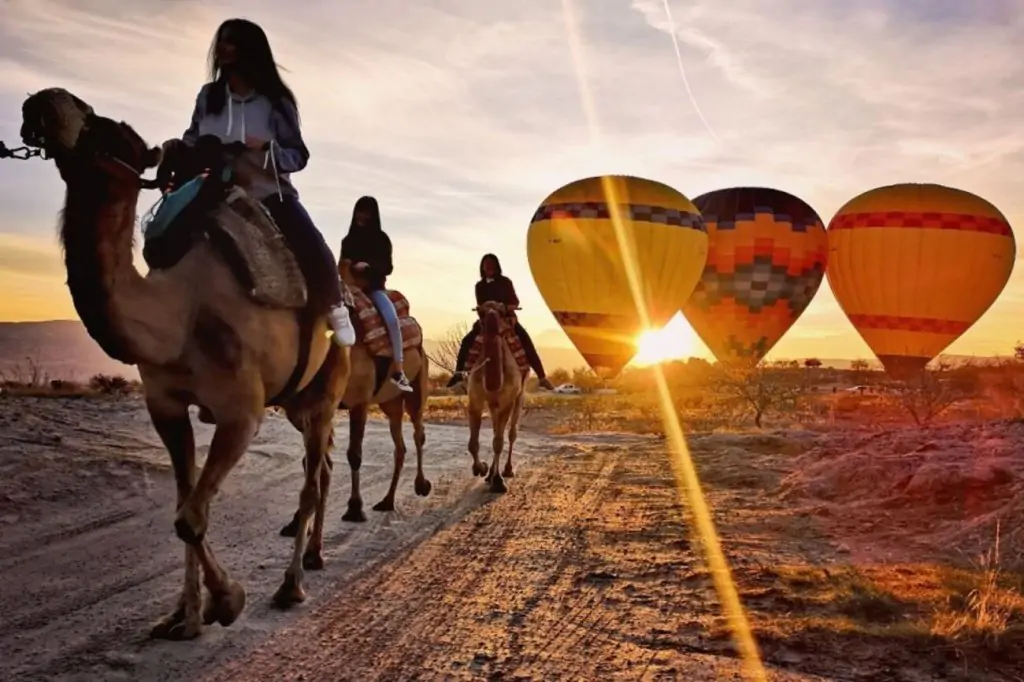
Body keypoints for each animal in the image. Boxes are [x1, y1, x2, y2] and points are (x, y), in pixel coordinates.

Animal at [16, 87, 358, 638]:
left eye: (113, 131)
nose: (44, 101)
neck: (179, 314)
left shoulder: (242, 411)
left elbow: (190, 517)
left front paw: (229, 599)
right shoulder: (166, 405)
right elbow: (183, 504)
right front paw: (184, 615)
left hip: (329, 384)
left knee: (312, 480)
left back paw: (292, 585)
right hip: (297, 400)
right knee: (320, 465)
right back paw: (316, 555)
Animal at [278, 260, 430, 536]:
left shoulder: (359, 400)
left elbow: (354, 454)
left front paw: (354, 508)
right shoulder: (308, 410)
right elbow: (310, 460)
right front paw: (295, 523)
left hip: (416, 385)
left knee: (418, 432)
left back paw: (421, 485)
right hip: (389, 402)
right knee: (400, 445)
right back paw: (387, 500)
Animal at [466, 301, 528, 491]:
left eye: (502, 312)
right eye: (480, 313)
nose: (492, 321)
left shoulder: (507, 401)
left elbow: (499, 442)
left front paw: (499, 482)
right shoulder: (475, 400)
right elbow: (473, 444)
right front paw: (481, 468)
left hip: (519, 396)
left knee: (511, 433)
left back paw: (507, 470)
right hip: (493, 404)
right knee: (495, 429)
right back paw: (490, 475)